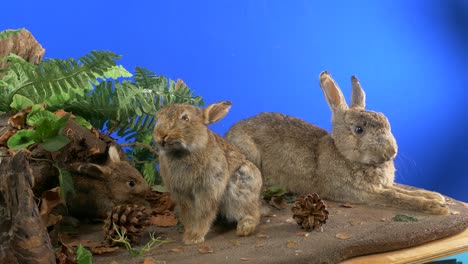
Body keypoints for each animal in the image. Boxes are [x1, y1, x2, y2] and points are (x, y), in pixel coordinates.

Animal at [154, 100, 262, 243]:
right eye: (157, 118)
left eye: (185, 118)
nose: (161, 135)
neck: (182, 152)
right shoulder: (181, 194)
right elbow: (188, 214)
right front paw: (188, 235)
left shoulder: (208, 188)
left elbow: (204, 213)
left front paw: (195, 237)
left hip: (242, 188)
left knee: (252, 211)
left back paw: (245, 229)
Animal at [225, 70, 448, 214]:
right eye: (359, 130)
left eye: (387, 122)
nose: (391, 151)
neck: (344, 154)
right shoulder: (361, 194)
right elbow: (396, 197)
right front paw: (436, 207)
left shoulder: (383, 186)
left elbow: (401, 190)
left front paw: (436, 197)